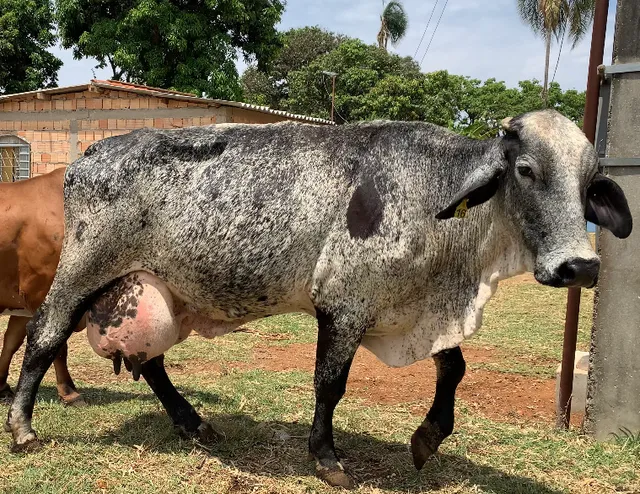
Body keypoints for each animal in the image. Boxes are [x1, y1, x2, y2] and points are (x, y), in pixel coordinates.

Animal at [0, 168, 85, 406]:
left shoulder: (23, 298)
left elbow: (11, 341)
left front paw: (2, 388)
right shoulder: (43, 290)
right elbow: (57, 344)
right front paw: (69, 392)